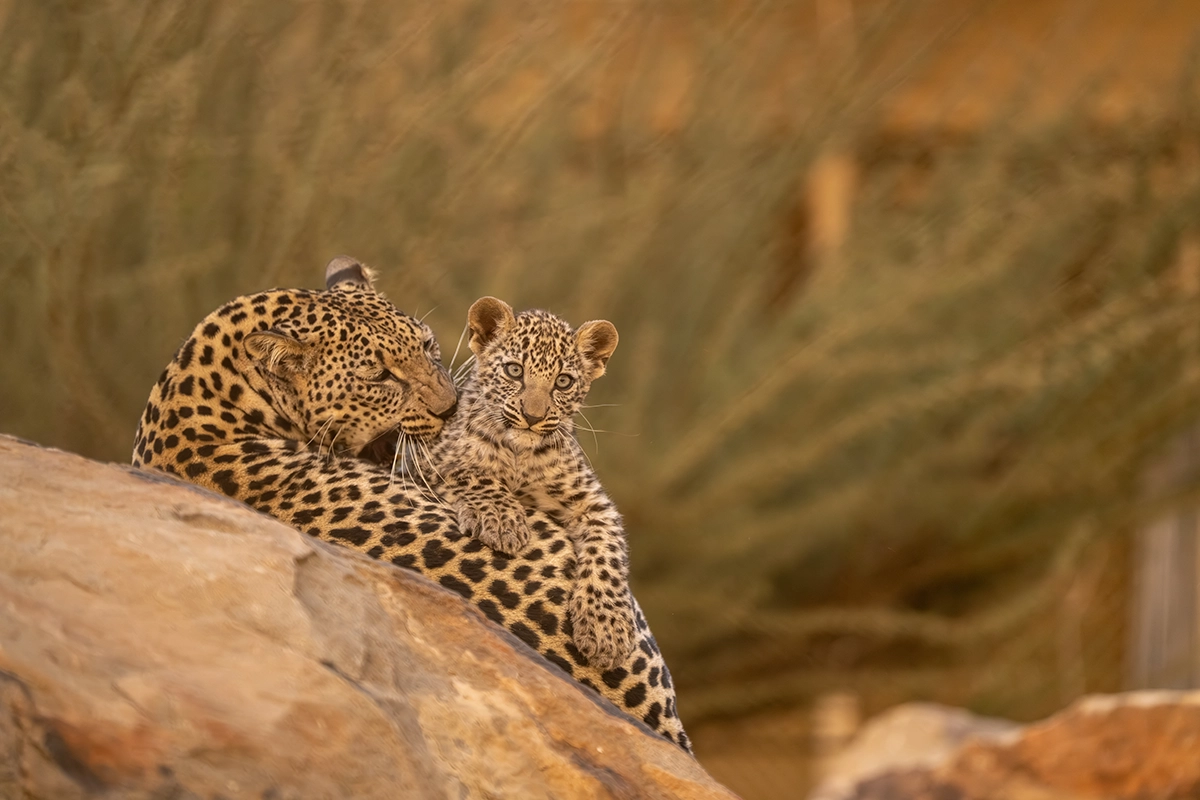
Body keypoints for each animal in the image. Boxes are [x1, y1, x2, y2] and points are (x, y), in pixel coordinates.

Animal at [417, 296, 637, 671]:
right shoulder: (434, 463)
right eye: (514, 371)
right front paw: (503, 523)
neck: (521, 454)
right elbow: (475, 472)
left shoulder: (592, 502)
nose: (533, 417)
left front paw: (606, 628)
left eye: (563, 381)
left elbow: (608, 552)